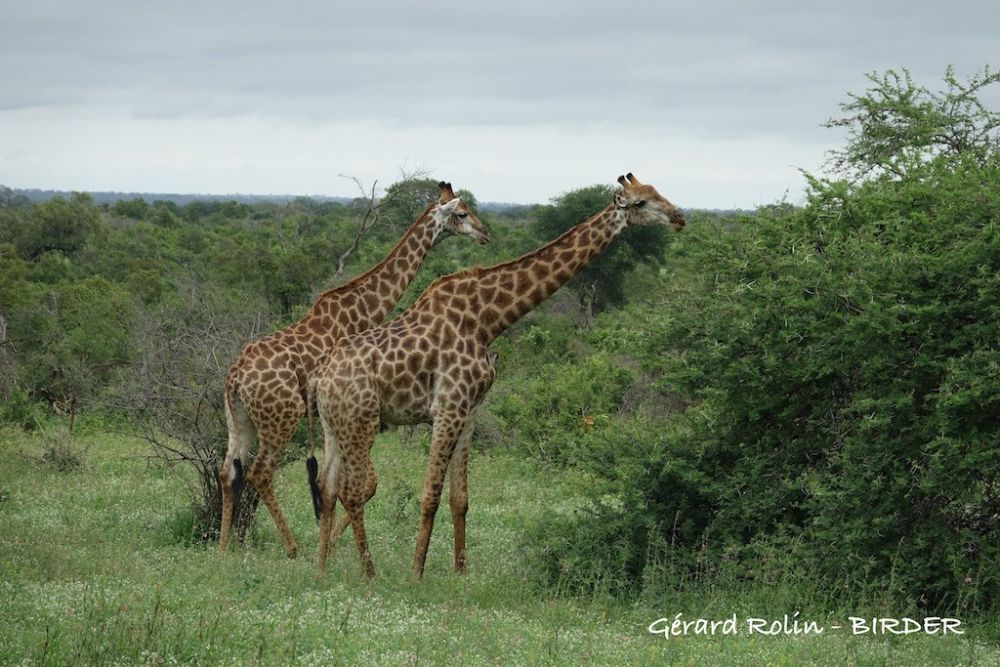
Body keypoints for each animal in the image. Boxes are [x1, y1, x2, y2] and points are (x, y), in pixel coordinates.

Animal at [217, 181, 490, 560]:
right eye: (462, 213)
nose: (485, 234)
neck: (363, 310)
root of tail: (236, 377)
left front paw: (331, 540)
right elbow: (366, 483)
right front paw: (330, 543)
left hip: (239, 419)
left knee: (228, 472)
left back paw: (223, 547)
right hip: (282, 416)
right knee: (260, 473)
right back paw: (292, 548)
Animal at [312, 174, 688, 580]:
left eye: (658, 192)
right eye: (640, 203)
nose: (680, 217)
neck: (487, 320)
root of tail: (321, 378)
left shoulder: (470, 412)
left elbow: (460, 499)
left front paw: (461, 573)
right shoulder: (448, 408)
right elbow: (430, 496)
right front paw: (416, 574)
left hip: (335, 426)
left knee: (327, 486)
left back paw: (321, 568)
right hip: (362, 422)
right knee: (351, 491)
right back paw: (369, 573)